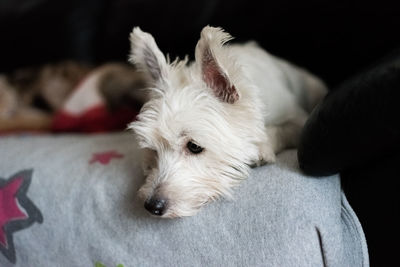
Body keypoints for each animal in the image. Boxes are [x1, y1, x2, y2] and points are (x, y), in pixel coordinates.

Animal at [130, 25, 326, 218]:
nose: (152, 206)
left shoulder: (298, 120)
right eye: (154, 150)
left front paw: (262, 149)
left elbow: (278, 130)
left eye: (194, 146)